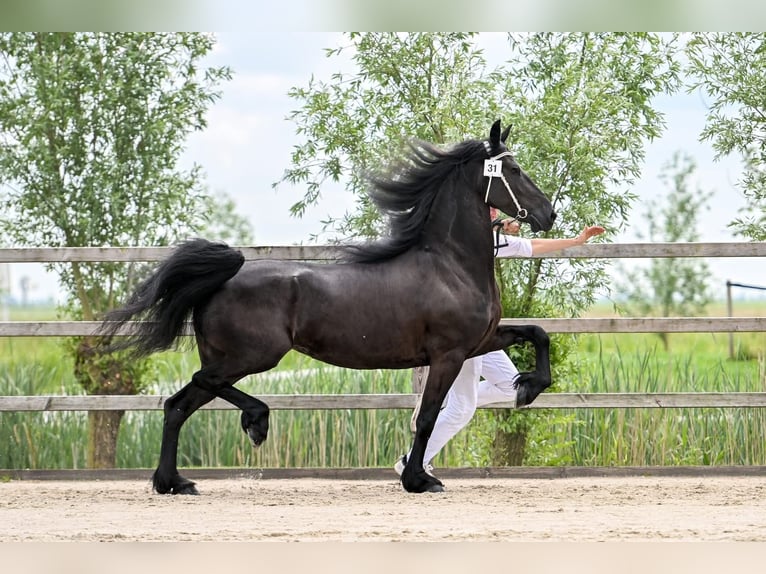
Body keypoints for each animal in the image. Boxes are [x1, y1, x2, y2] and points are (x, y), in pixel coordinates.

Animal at [98, 119, 557, 495]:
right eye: (513, 170)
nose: (548, 214)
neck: (450, 266)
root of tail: (224, 278)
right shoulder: (448, 354)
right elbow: (426, 417)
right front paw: (418, 480)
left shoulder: (478, 342)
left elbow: (537, 333)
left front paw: (528, 387)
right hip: (254, 355)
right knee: (200, 384)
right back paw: (254, 423)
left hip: (232, 358)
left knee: (177, 405)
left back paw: (174, 482)